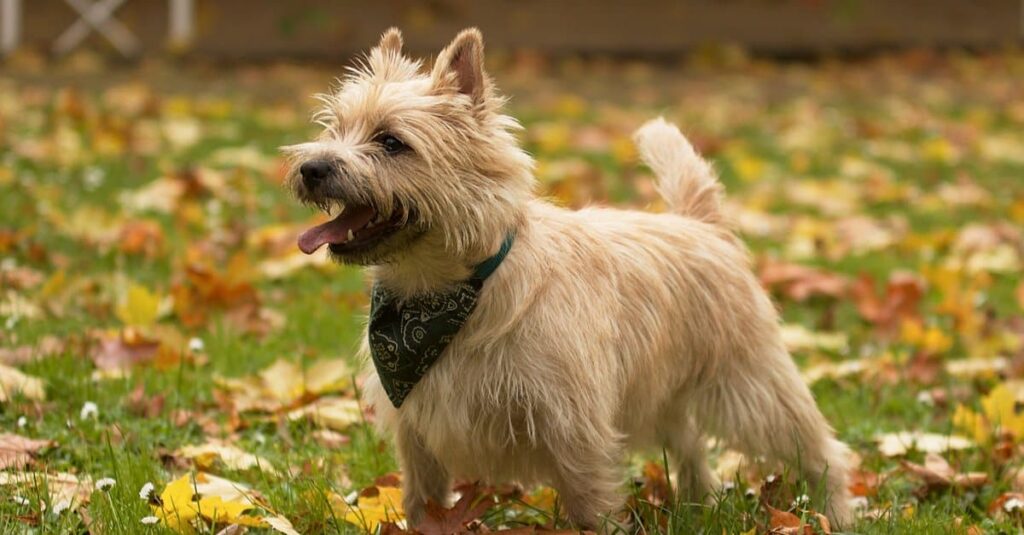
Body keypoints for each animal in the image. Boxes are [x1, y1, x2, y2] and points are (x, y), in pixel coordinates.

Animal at [284, 28, 851, 528]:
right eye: (333, 129)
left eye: (391, 142)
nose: (312, 167)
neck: (445, 293)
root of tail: (702, 224)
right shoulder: (417, 435)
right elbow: (423, 502)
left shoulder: (574, 428)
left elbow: (589, 505)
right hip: (664, 394)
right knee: (691, 446)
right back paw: (696, 507)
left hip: (751, 388)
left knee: (822, 450)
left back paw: (836, 513)